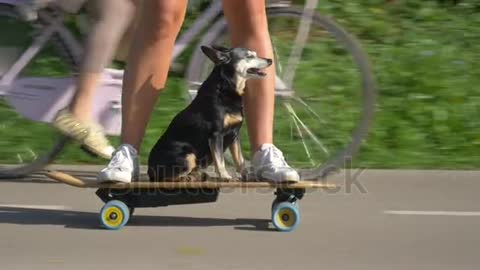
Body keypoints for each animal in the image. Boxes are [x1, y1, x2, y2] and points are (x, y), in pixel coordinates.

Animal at [148, 46, 272, 181]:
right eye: (249, 56)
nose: (270, 60)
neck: (226, 87)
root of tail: (150, 170)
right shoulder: (216, 134)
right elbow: (220, 160)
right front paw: (225, 176)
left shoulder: (234, 134)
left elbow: (240, 159)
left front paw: (246, 176)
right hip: (188, 154)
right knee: (169, 177)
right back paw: (191, 177)